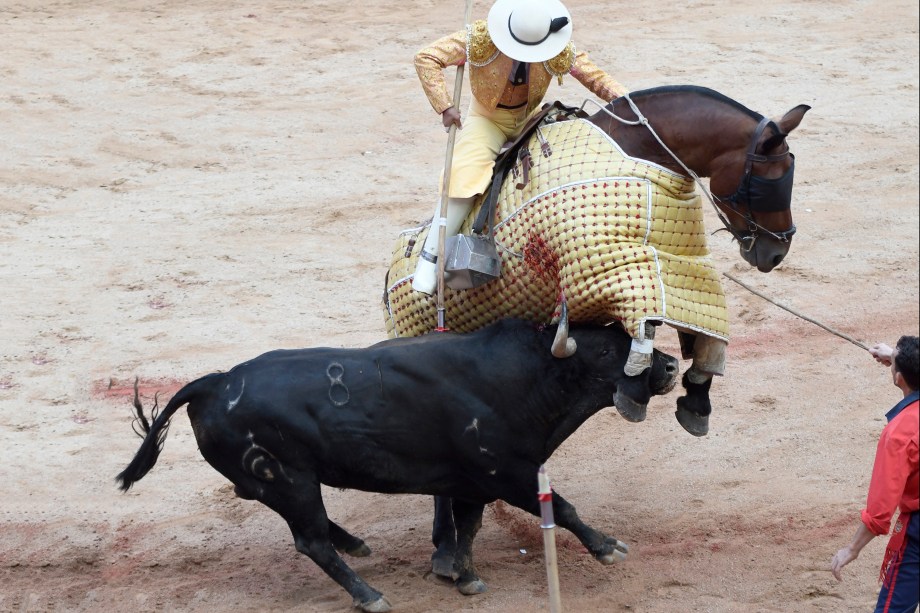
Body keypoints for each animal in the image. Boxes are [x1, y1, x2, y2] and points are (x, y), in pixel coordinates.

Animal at [117, 318, 676, 608]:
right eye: (605, 350)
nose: (671, 364)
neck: (521, 376)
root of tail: (215, 381)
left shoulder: (473, 481)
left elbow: (468, 526)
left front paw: (466, 576)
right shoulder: (510, 473)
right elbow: (563, 508)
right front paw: (608, 547)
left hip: (282, 481)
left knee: (279, 513)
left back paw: (356, 545)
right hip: (291, 480)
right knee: (310, 541)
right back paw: (369, 594)